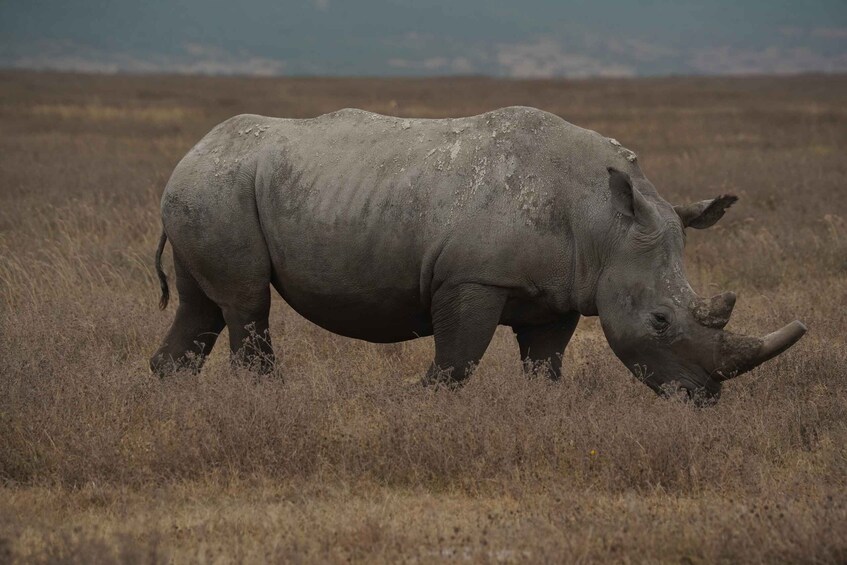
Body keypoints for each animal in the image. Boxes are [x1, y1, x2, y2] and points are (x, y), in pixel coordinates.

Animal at [150, 106, 806, 403]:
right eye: (661, 321)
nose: (704, 397)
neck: (605, 221)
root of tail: (190, 154)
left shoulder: (562, 289)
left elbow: (545, 363)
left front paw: (543, 407)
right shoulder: (473, 278)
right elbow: (457, 360)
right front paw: (419, 400)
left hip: (205, 191)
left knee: (201, 308)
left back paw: (167, 391)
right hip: (218, 190)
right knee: (246, 303)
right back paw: (264, 397)